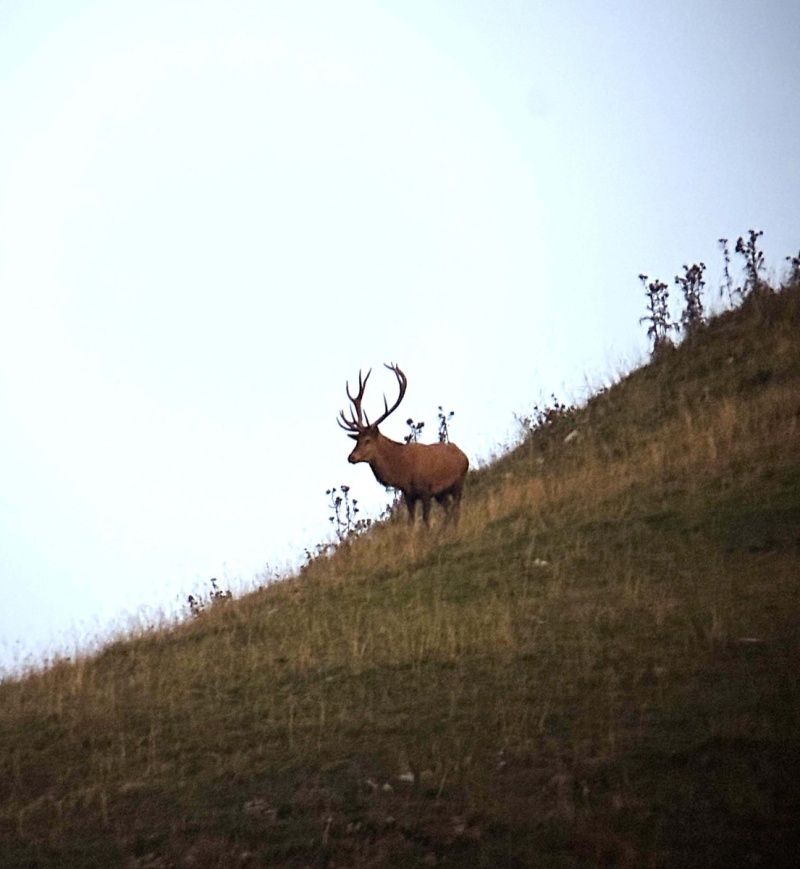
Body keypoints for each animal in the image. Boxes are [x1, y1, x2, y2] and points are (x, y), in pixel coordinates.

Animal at [338, 364, 469, 526]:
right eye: (357, 440)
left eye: (367, 440)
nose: (351, 457)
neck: (403, 472)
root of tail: (464, 456)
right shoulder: (408, 495)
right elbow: (411, 521)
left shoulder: (426, 490)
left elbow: (426, 520)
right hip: (442, 494)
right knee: (449, 511)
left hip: (459, 483)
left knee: (456, 510)